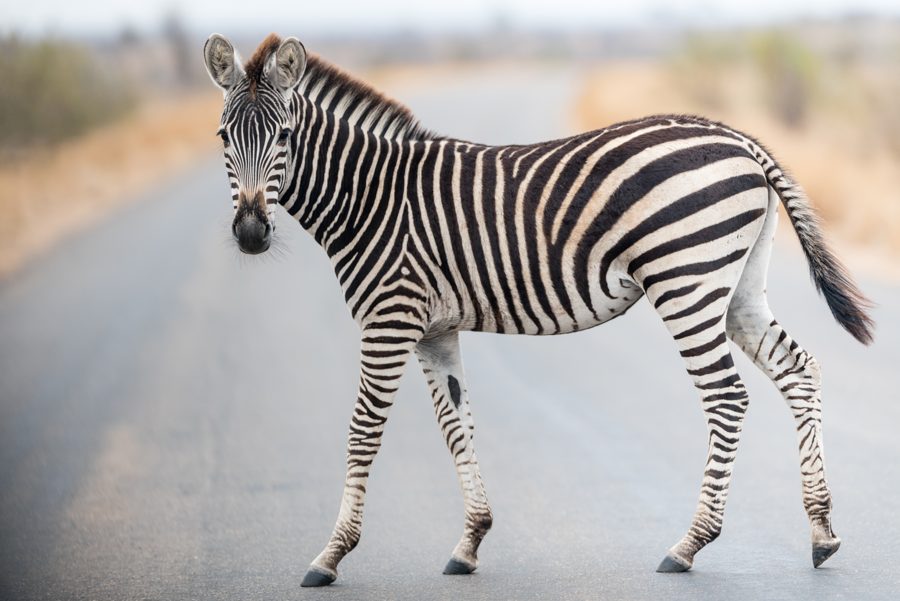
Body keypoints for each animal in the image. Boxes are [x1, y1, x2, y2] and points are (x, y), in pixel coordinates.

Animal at [203, 33, 874, 586]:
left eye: (284, 137)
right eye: (223, 139)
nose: (252, 233)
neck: (369, 197)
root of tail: (739, 139)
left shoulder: (389, 319)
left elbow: (363, 430)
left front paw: (331, 554)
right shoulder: (434, 330)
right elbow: (457, 426)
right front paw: (470, 543)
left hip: (685, 279)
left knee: (727, 396)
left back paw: (688, 545)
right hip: (737, 288)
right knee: (799, 371)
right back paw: (822, 532)